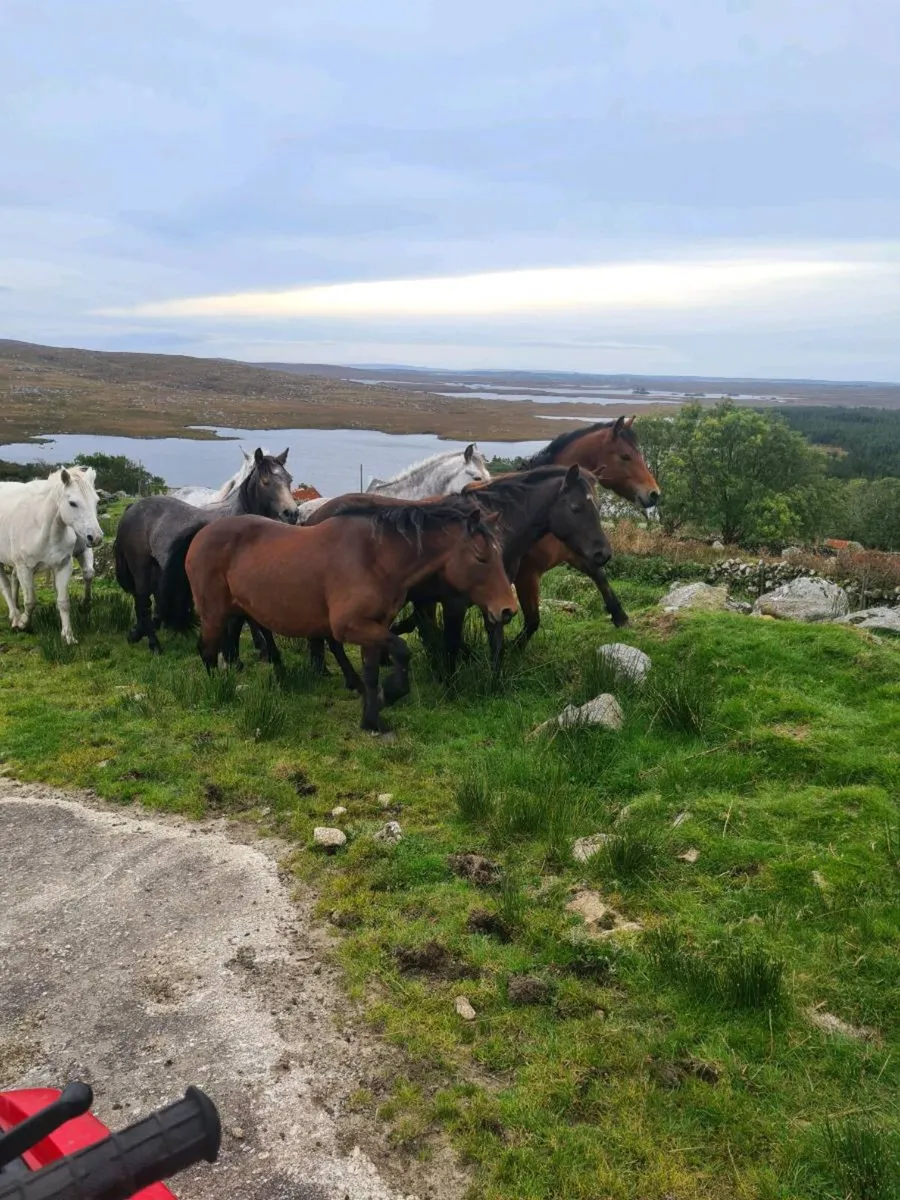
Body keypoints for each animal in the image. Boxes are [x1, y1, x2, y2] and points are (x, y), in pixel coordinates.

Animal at [0, 466, 103, 644]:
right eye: (72, 503)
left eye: (97, 501)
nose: (95, 537)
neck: (41, 529)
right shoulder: (24, 568)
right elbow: (31, 601)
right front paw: (23, 624)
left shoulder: (63, 565)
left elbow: (64, 601)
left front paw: (68, 636)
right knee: (6, 586)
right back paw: (14, 616)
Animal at [113, 448, 298, 653]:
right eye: (266, 481)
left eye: (289, 479)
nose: (292, 513)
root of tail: (133, 508)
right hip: (141, 569)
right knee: (143, 603)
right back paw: (154, 645)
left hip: (156, 569)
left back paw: (138, 634)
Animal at [176, 498, 517, 732]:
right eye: (481, 557)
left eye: (499, 554)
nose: (507, 609)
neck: (374, 557)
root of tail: (202, 533)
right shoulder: (351, 626)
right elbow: (401, 651)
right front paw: (391, 694)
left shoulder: (374, 626)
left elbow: (371, 671)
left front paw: (372, 719)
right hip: (213, 612)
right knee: (207, 650)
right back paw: (219, 689)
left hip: (236, 609)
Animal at [308, 465, 611, 679]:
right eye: (576, 507)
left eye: (597, 506)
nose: (603, 553)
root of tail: (314, 517)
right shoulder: (455, 602)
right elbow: (450, 641)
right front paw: (449, 682)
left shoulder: (495, 598)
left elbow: (495, 641)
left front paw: (494, 682)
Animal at [512, 416, 661, 637]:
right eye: (625, 456)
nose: (654, 494)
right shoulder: (527, 575)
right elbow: (531, 622)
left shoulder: (577, 554)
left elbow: (600, 576)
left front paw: (621, 617)